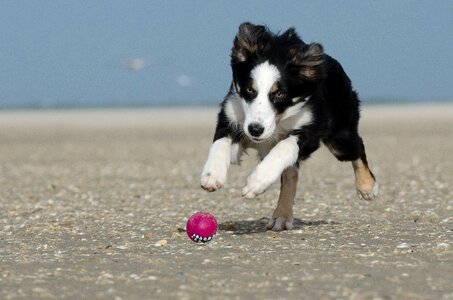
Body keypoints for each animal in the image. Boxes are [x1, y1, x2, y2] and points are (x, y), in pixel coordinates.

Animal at [200, 22, 376, 231]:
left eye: (279, 94)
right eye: (250, 90)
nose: (255, 130)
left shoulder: (311, 130)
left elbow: (284, 147)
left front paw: (255, 182)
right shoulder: (232, 116)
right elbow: (220, 143)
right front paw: (212, 175)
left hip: (340, 137)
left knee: (357, 148)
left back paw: (367, 187)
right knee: (291, 173)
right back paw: (282, 216)